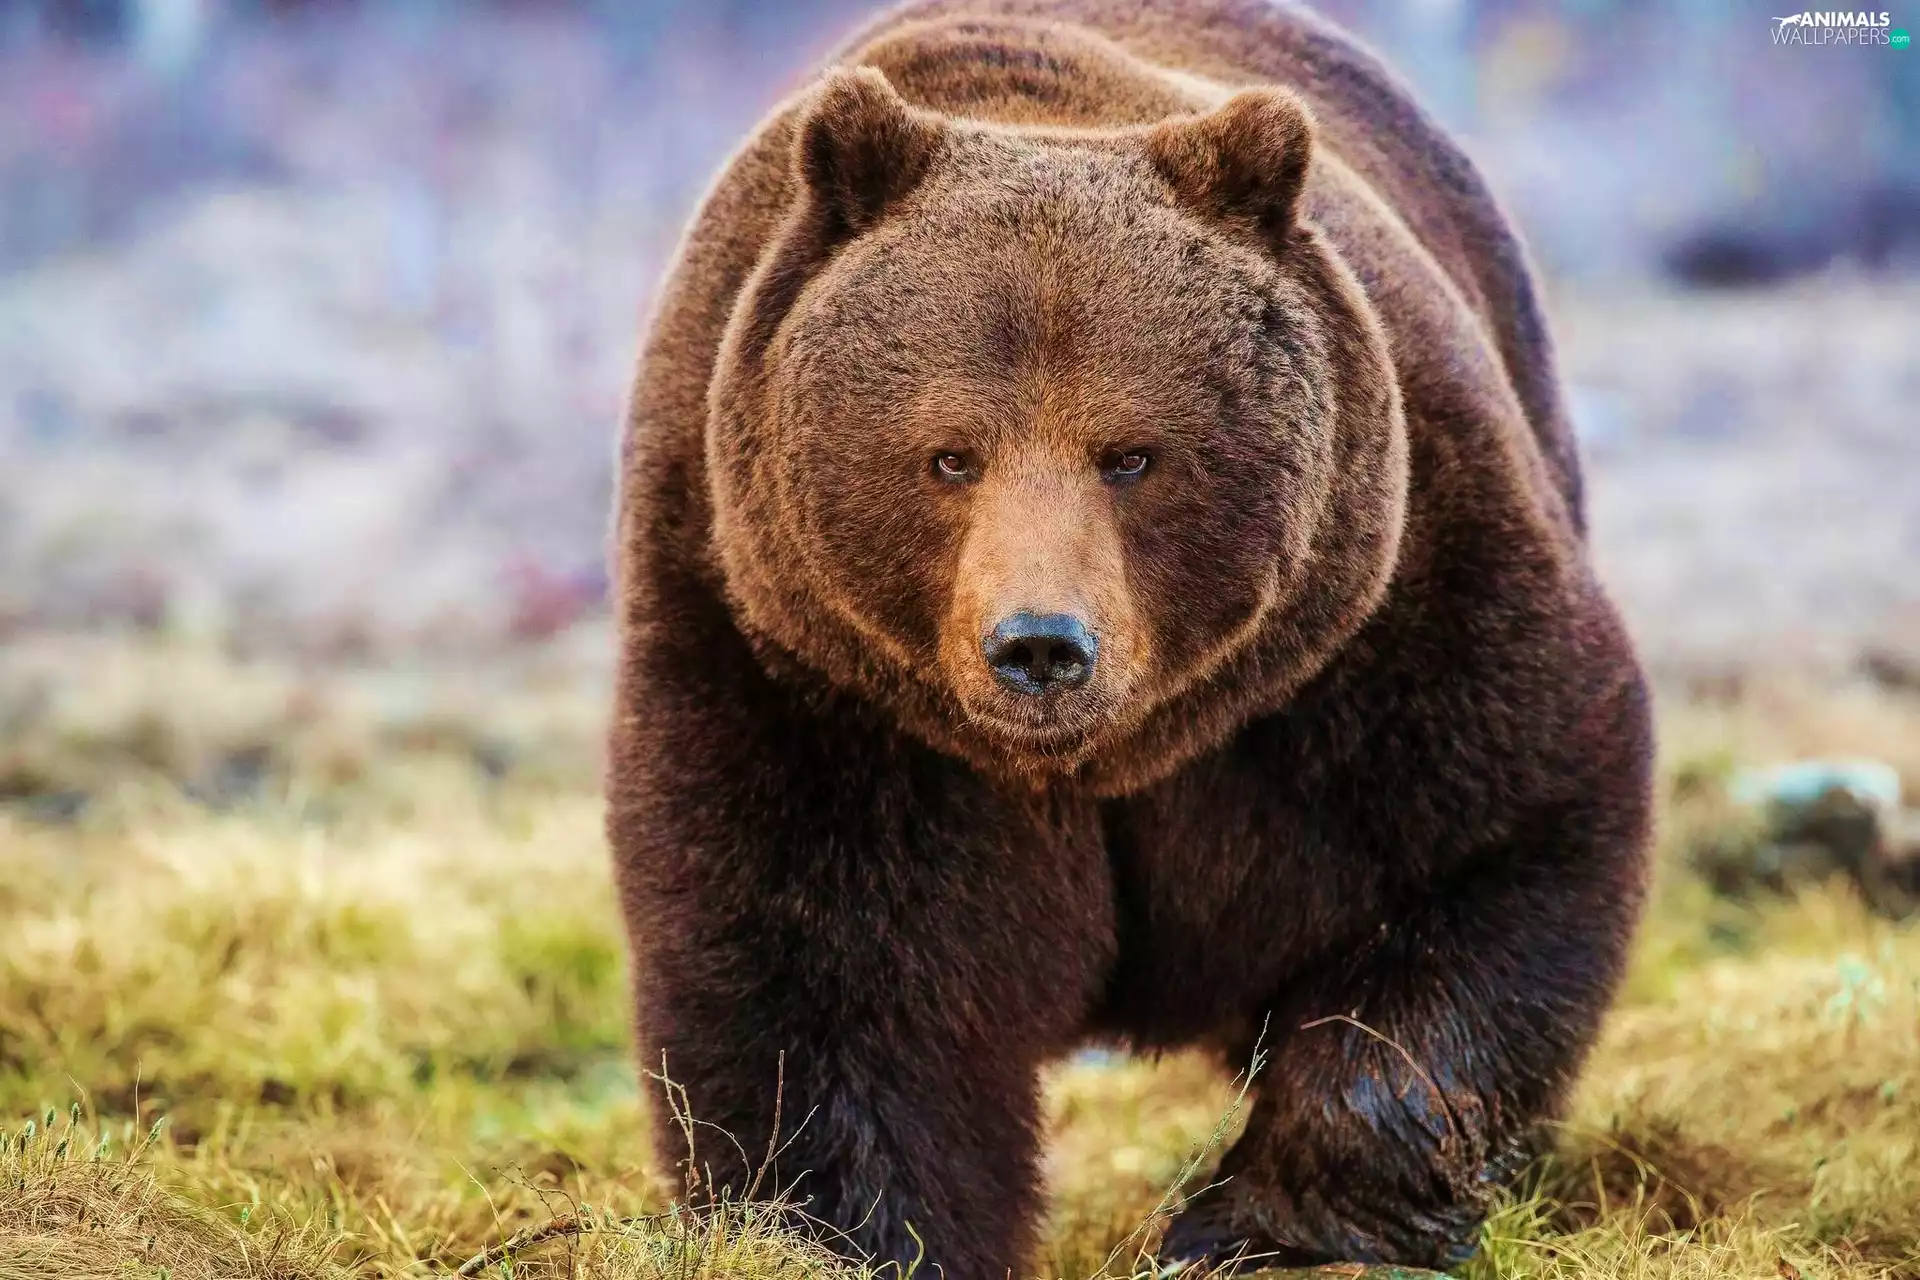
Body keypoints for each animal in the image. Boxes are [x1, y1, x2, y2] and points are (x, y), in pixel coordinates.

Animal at [606, 1, 1654, 1275]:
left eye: (1133, 453)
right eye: (949, 454)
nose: (1040, 644)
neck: (1098, 758)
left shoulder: (1383, 603)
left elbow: (1490, 833)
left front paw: (1262, 1223)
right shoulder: (788, 652)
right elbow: (818, 970)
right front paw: (848, 1230)